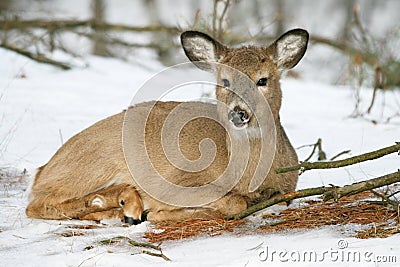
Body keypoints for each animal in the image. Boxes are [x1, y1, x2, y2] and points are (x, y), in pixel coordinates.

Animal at [25, 28, 310, 223]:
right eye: (225, 81)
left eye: (262, 80)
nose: (238, 113)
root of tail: (45, 167)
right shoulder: (175, 181)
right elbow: (235, 203)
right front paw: (164, 212)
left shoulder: (288, 189)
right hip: (96, 160)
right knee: (36, 202)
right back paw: (126, 207)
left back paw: (123, 206)